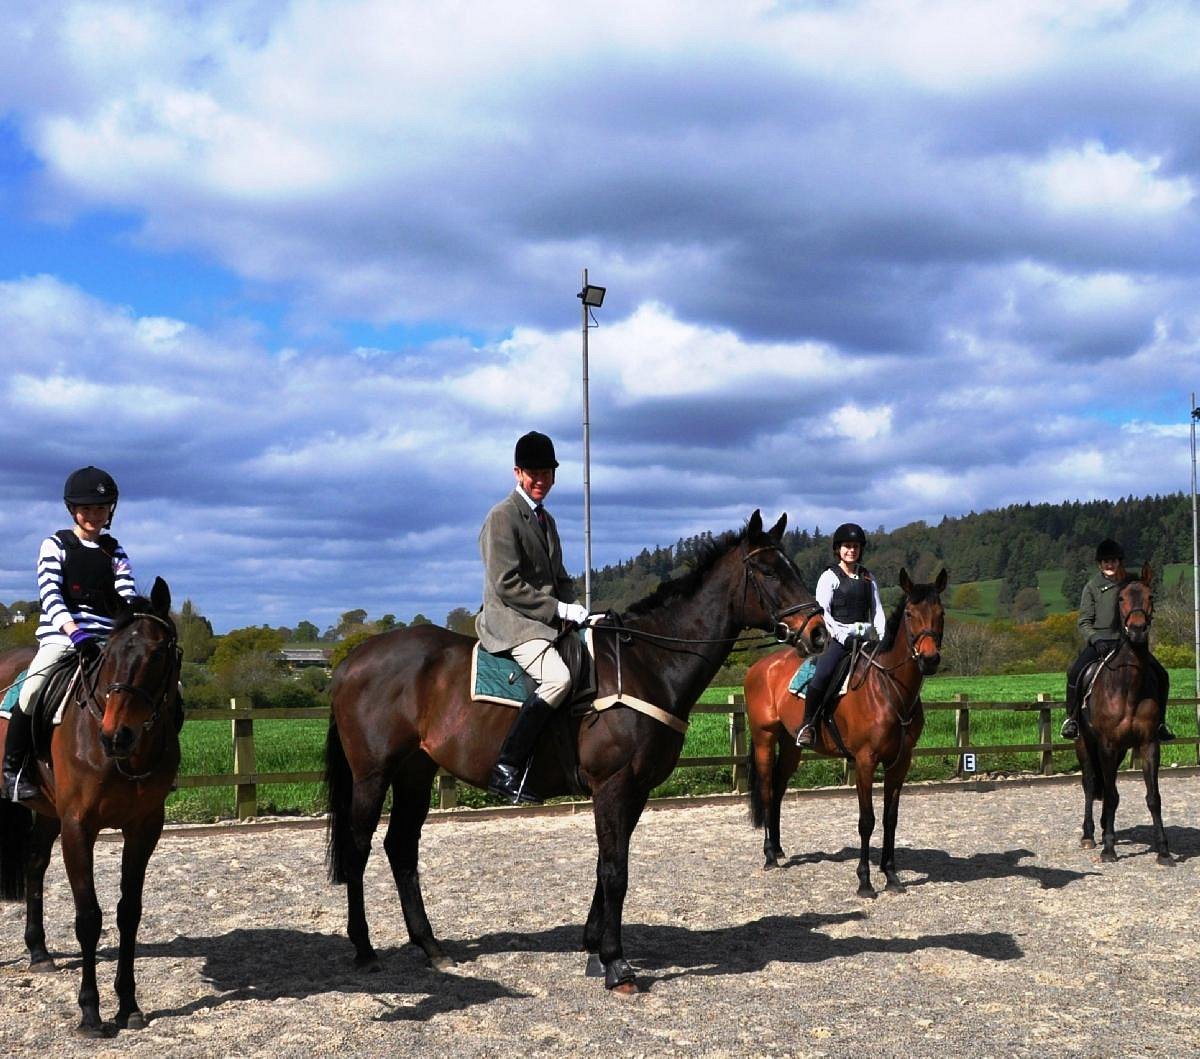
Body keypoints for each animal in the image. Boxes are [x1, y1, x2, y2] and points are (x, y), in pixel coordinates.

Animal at [0, 578, 180, 1032]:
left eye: (158, 654)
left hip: (48, 812)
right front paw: (90, 1011)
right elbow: (89, 917)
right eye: (110, 655)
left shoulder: (144, 827)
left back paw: (39, 953)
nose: (118, 735)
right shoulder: (78, 826)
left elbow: (128, 912)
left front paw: (128, 1005)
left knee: (34, 865)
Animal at [328, 511, 830, 989]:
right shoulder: (612, 784)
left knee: (401, 848)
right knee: (358, 849)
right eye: (769, 571)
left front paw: (593, 948)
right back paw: (364, 949)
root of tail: (354, 659)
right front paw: (615, 964)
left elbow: (608, 863)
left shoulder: (636, 790)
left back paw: (432, 948)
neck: (648, 662)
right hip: (373, 775)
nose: (820, 635)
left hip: (416, 770)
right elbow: (614, 870)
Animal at [739, 564, 945, 893]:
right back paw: (770, 854)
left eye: (941, 612)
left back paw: (780, 848)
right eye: (911, 613)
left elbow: (890, 819)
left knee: (779, 788)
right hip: (764, 738)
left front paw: (891, 876)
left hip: (791, 744)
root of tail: (760, 667)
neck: (888, 688)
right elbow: (866, 820)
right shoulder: (864, 761)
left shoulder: (900, 762)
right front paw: (865, 881)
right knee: (768, 788)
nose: (929, 659)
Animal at [1080, 564, 1171, 864]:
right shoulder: (1106, 745)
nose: (1138, 630)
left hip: (1120, 751)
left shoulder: (1148, 744)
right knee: (1090, 783)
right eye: (1121, 599)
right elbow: (1108, 794)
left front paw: (1163, 850)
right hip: (1084, 743)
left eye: (1150, 596)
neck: (1128, 688)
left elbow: (1153, 797)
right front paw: (1108, 848)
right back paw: (1089, 835)